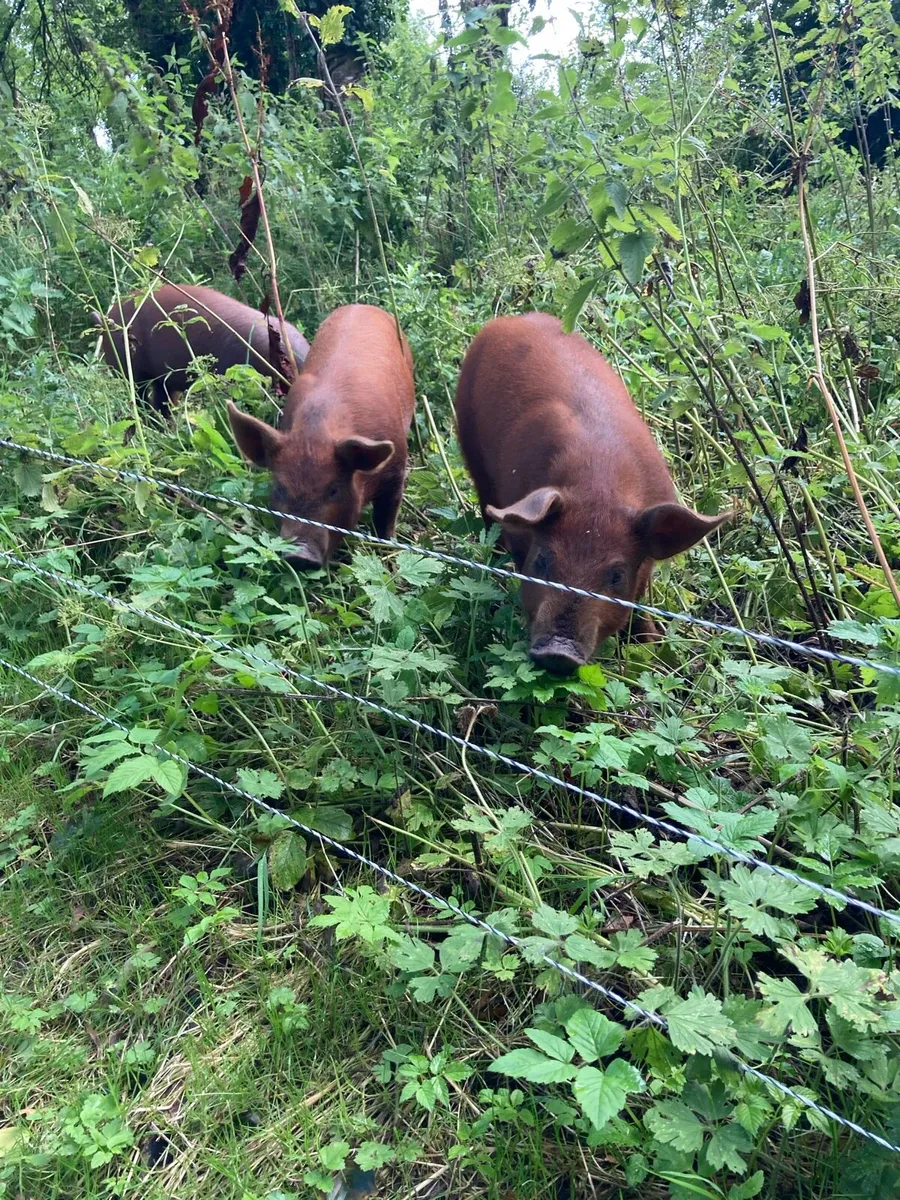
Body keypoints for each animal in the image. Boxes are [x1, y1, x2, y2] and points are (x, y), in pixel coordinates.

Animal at [226, 303, 415, 569]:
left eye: (334, 490)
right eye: (280, 488)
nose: (299, 555)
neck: (316, 433)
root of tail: (362, 306)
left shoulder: (397, 469)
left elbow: (386, 518)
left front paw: (388, 554)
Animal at [454, 312, 732, 674]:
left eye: (616, 576)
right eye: (542, 561)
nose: (558, 652)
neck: (598, 486)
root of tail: (516, 318)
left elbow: (639, 596)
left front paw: (649, 645)